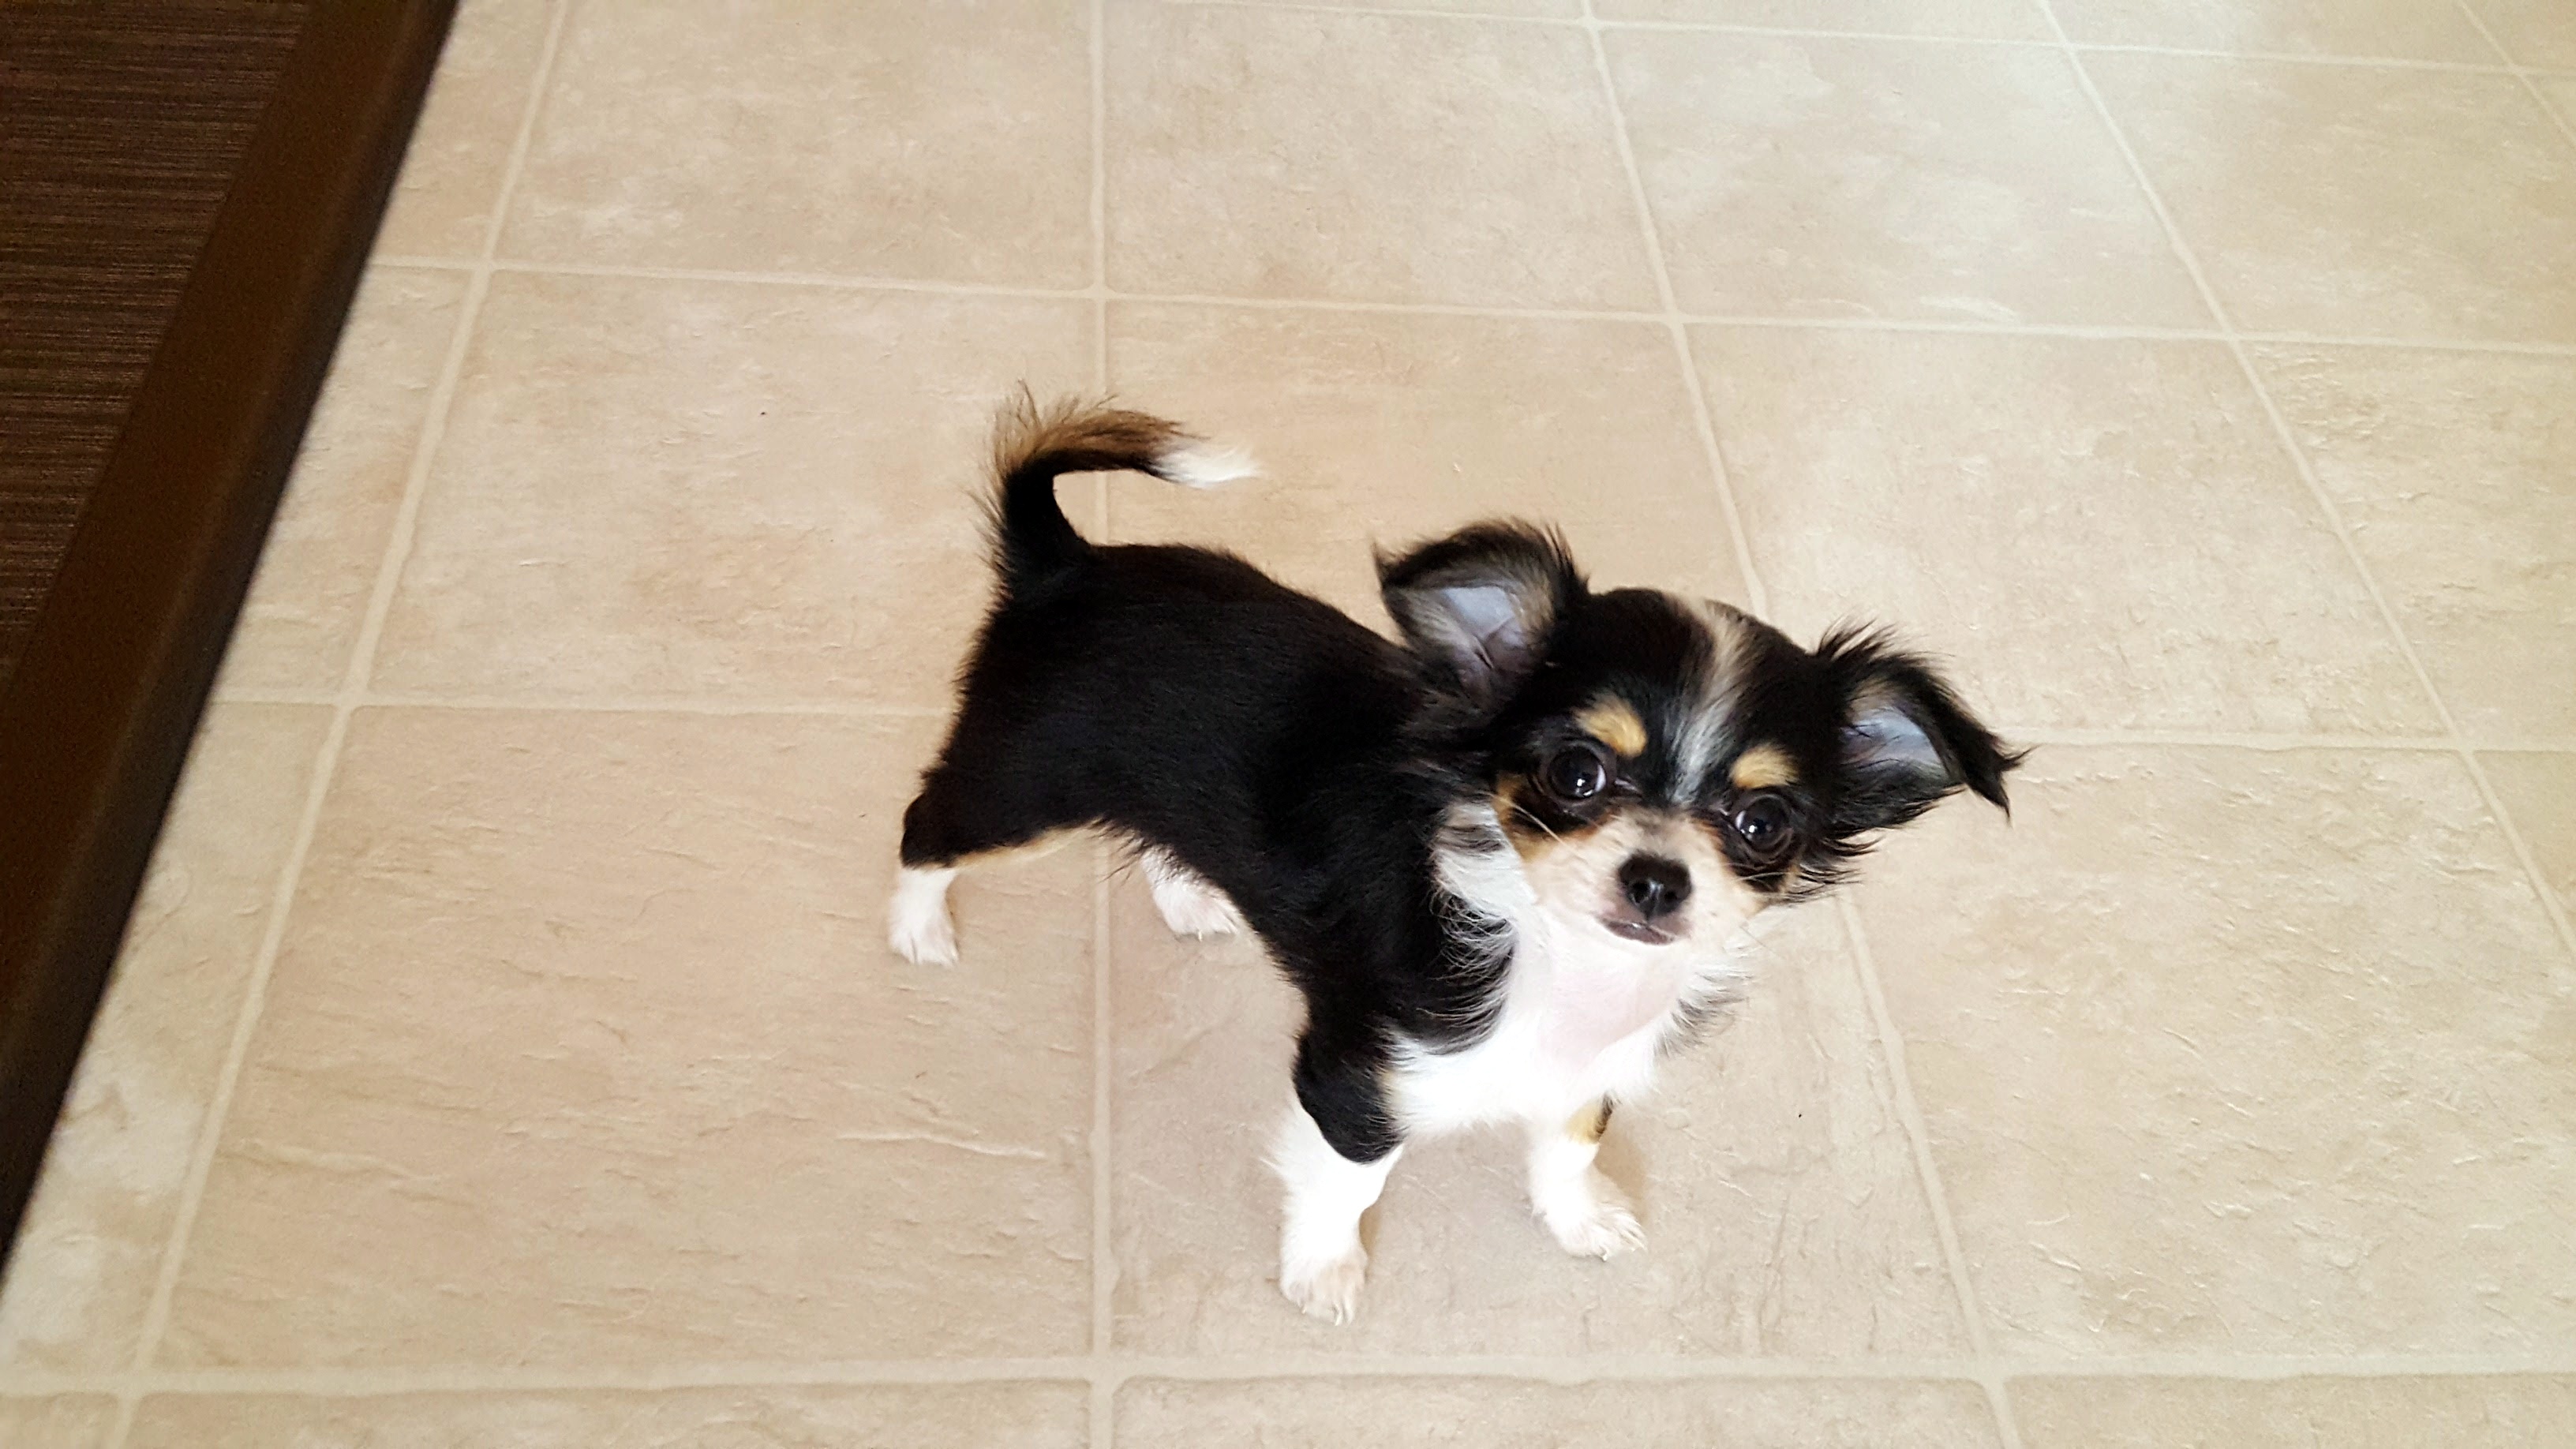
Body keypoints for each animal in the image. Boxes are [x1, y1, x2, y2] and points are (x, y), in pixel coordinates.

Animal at [889, 397, 2018, 1323]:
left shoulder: (1588, 1072)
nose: (1658, 880)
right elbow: (1353, 1180)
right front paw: (1324, 1275)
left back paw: (1191, 899)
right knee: (925, 823)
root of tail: (1066, 563)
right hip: (1023, 783)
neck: (1562, 964)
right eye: (1575, 774)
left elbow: (1570, 1142)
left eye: (1765, 824)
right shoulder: (1358, 1077)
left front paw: (1581, 1220)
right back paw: (918, 930)